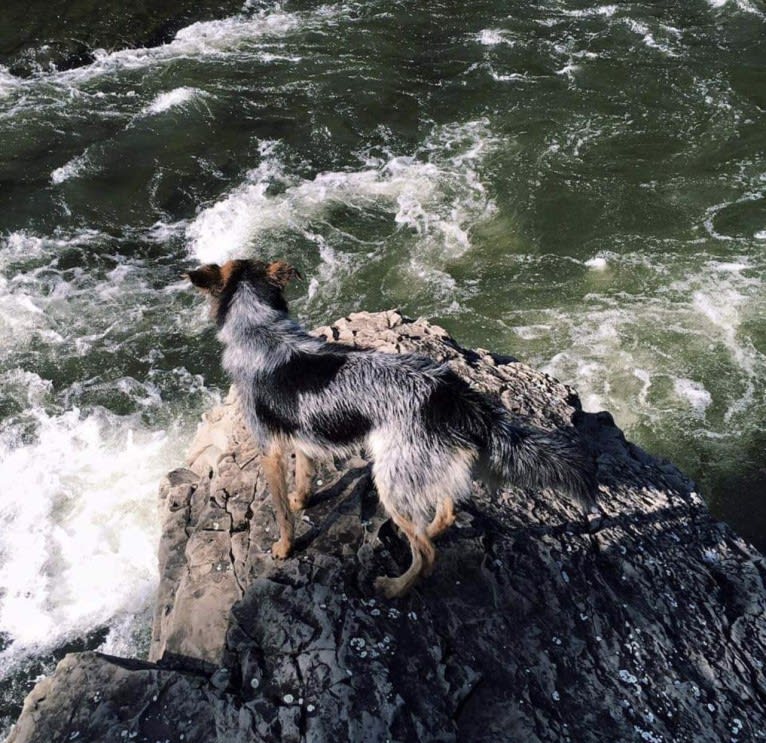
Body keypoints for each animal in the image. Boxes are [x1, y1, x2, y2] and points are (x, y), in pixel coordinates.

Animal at [186, 258, 600, 596]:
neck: (258, 328)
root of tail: (451, 395)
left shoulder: (268, 450)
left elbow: (282, 515)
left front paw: (284, 547)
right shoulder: (303, 435)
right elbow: (303, 476)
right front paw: (302, 499)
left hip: (391, 479)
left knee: (428, 554)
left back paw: (394, 587)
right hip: (425, 466)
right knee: (445, 512)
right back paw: (428, 530)